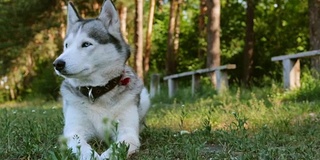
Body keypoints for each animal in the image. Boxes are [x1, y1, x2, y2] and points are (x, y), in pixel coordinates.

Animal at [52, 0, 150, 159]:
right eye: (67, 45)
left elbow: (117, 147)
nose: (57, 64)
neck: (97, 91)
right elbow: (82, 147)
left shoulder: (127, 133)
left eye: (86, 44)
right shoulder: (74, 132)